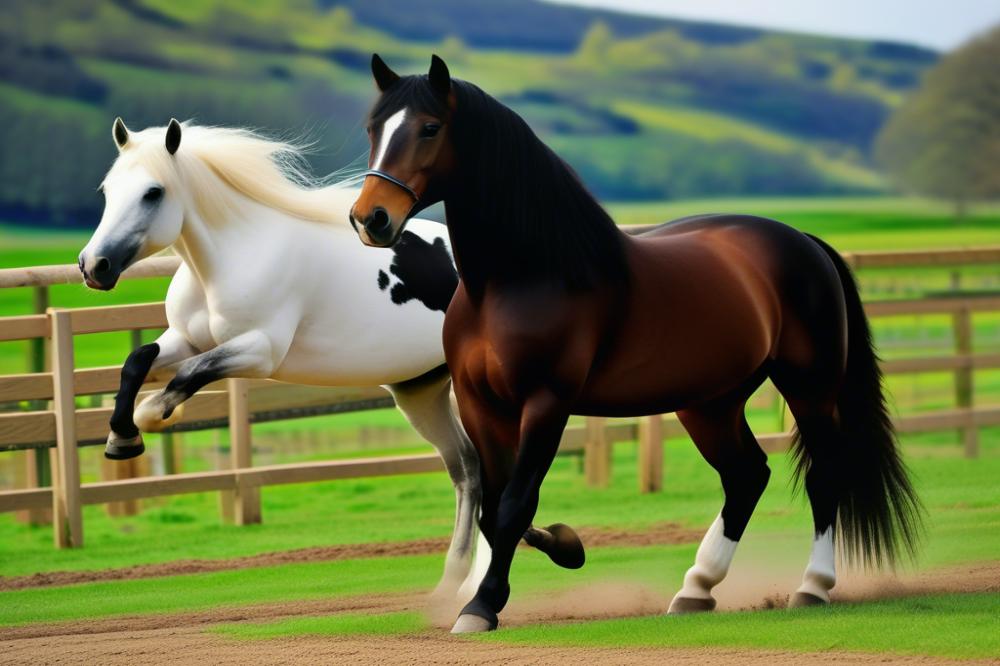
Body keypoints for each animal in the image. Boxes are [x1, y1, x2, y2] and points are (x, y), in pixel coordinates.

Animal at [80, 116, 486, 600]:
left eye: (153, 192)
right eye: (107, 190)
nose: (94, 265)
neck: (232, 257)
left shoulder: (259, 351)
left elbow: (188, 375)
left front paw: (152, 416)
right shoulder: (185, 338)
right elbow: (137, 361)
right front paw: (121, 439)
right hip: (419, 393)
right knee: (469, 470)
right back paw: (456, 582)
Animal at [350, 54, 920, 632]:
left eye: (429, 127)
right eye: (373, 127)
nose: (371, 218)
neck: (520, 279)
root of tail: (804, 242)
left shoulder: (547, 403)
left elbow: (513, 505)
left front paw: (481, 606)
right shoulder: (480, 404)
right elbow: (496, 507)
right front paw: (563, 546)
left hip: (809, 387)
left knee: (824, 472)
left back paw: (812, 586)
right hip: (710, 403)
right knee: (745, 476)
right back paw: (695, 588)